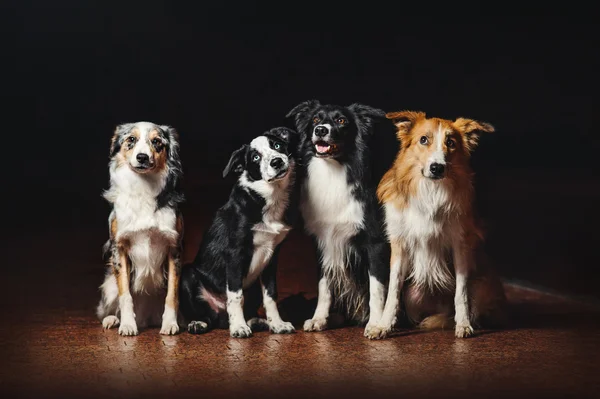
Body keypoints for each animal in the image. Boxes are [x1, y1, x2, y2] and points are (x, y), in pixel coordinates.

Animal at [96, 122, 184, 338]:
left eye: (157, 141)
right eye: (131, 139)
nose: (142, 157)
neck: (144, 186)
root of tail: (147, 318)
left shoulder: (174, 248)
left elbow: (171, 294)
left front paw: (170, 324)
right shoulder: (119, 248)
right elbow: (125, 295)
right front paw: (127, 325)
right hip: (108, 286)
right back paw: (112, 319)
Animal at [179, 126, 298, 338]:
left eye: (277, 145)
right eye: (256, 158)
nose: (277, 161)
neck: (268, 196)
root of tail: (220, 317)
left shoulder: (272, 257)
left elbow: (271, 295)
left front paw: (277, 323)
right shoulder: (235, 254)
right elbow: (235, 296)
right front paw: (238, 327)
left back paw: (256, 321)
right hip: (187, 275)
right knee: (208, 316)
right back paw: (200, 323)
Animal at [284, 100, 394, 338]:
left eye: (342, 120)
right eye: (316, 119)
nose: (320, 130)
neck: (333, 170)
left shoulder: (376, 243)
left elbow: (376, 288)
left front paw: (376, 324)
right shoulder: (323, 242)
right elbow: (324, 285)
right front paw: (319, 318)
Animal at [366, 110, 506, 340]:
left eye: (451, 143)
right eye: (424, 140)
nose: (437, 168)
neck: (430, 190)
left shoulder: (461, 245)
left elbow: (461, 292)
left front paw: (463, 324)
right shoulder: (400, 244)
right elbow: (392, 292)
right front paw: (383, 325)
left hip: (482, 284)